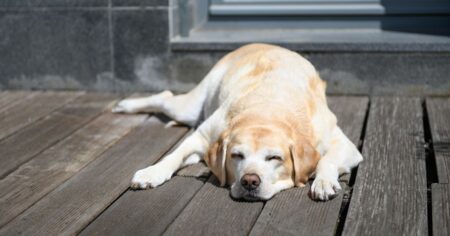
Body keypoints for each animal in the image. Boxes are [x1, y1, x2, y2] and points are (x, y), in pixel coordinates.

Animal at [111, 43, 362, 201]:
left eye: (274, 158)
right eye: (236, 156)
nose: (250, 181)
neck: (268, 108)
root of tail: (254, 43)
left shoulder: (345, 145)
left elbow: (327, 159)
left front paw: (323, 182)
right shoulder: (202, 136)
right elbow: (174, 155)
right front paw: (152, 173)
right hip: (189, 107)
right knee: (164, 97)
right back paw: (126, 105)